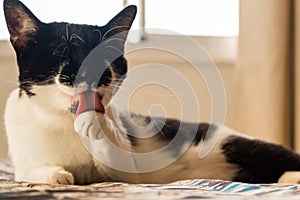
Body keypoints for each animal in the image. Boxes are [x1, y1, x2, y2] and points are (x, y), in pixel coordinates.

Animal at [3, 0, 300, 185]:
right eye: (61, 55)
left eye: (104, 59)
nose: (93, 76)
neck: (65, 121)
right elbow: (28, 171)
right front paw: (54, 173)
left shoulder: (126, 173)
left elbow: (118, 161)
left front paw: (96, 123)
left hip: (238, 144)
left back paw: (291, 177)